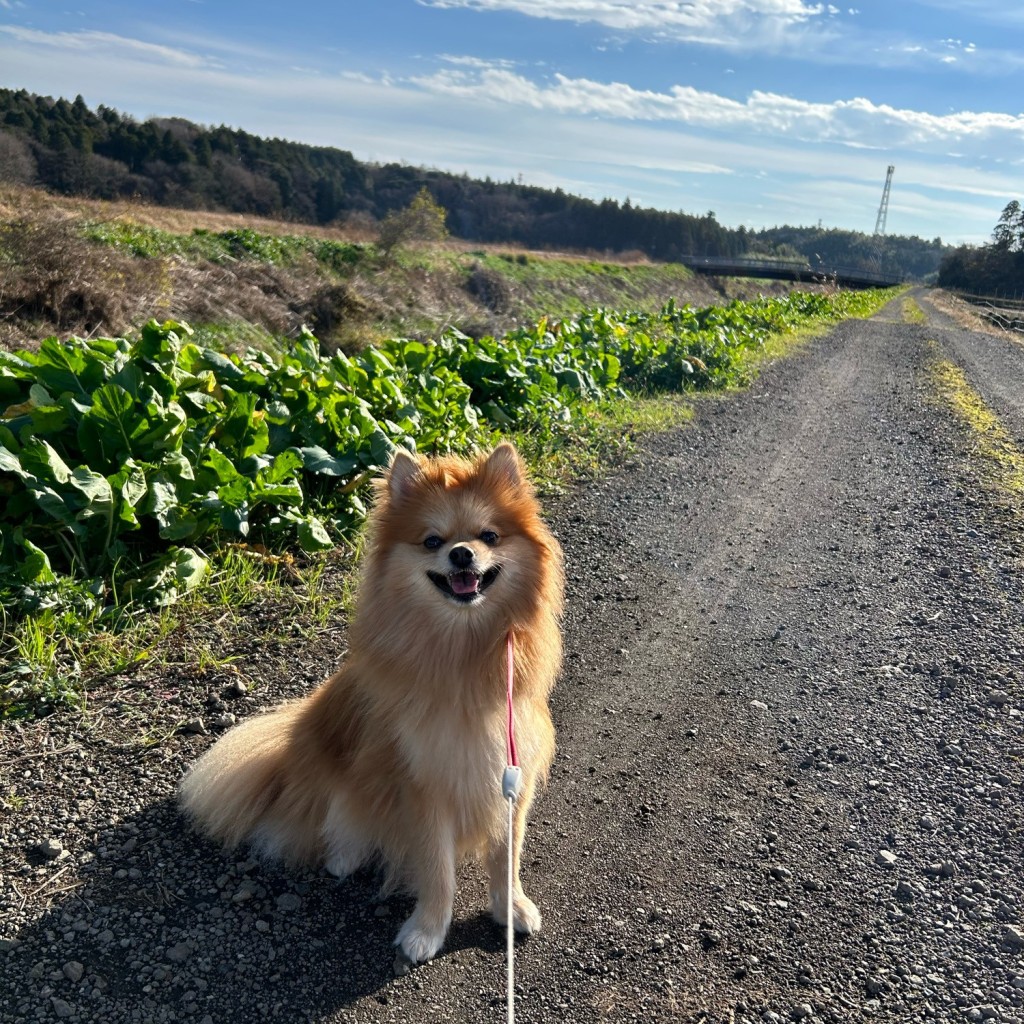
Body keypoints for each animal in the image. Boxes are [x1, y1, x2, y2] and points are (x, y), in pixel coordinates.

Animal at [176, 444, 561, 962]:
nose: (462, 553)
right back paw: (344, 855)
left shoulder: (511, 773)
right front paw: (427, 930)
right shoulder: (421, 783)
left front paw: (511, 907)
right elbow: (437, 869)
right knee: (327, 822)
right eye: (432, 541)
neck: (462, 649)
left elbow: (507, 856)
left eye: (489, 536)